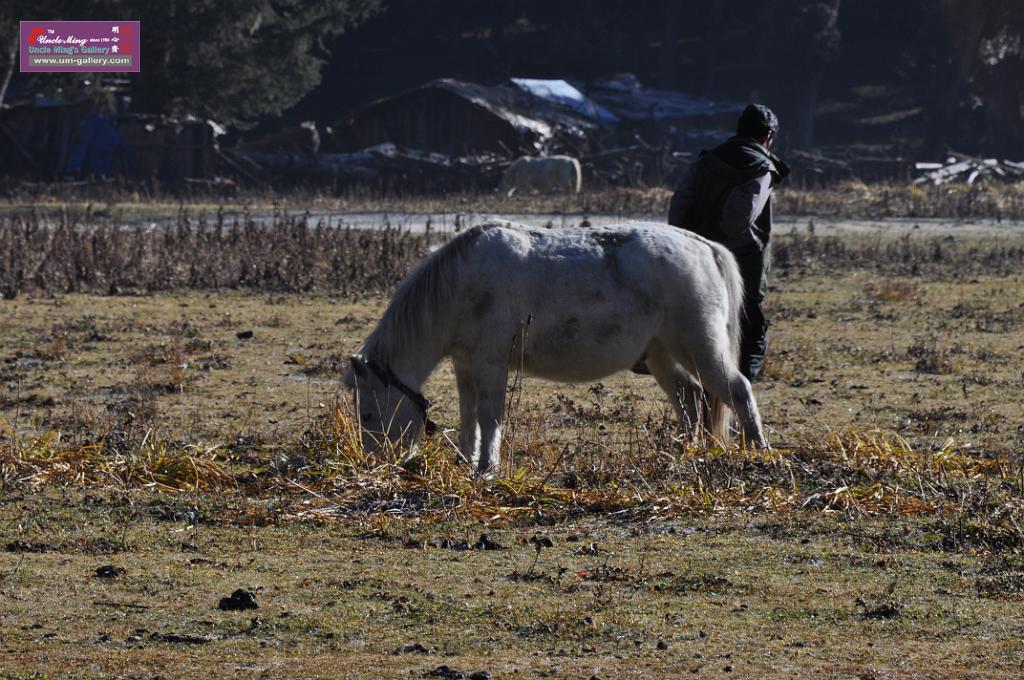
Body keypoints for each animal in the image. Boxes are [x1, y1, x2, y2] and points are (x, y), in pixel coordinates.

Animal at [346, 220, 770, 475]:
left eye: (367, 414)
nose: (377, 464)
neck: (462, 285)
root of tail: (707, 247)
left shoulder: (491, 362)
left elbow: (489, 416)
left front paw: (486, 469)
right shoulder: (465, 365)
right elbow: (469, 419)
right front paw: (467, 463)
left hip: (698, 346)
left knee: (736, 390)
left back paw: (758, 451)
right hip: (661, 354)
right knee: (690, 397)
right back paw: (685, 453)